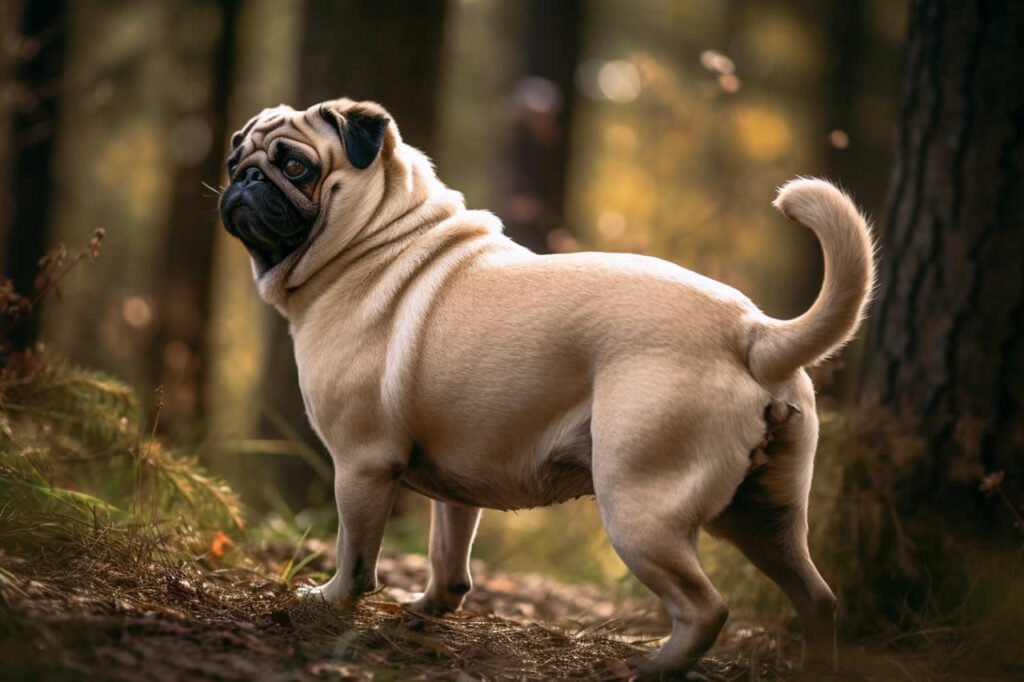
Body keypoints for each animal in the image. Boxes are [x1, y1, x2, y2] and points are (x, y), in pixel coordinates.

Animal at [220, 96, 876, 675]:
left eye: (296, 167)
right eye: (235, 161)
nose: (245, 180)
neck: (373, 242)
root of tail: (753, 330)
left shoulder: (360, 465)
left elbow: (355, 557)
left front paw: (330, 601)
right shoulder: (455, 483)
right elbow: (448, 562)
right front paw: (426, 609)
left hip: (640, 509)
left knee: (706, 609)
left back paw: (654, 668)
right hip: (766, 515)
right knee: (817, 597)